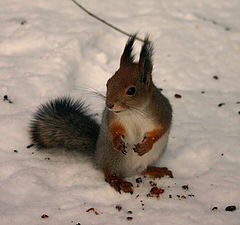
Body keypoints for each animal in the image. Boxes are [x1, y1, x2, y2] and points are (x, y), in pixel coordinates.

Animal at [30, 35, 172, 193]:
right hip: (112, 157)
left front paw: (146, 144)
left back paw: (156, 170)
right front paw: (117, 141)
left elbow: (160, 130)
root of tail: (97, 156)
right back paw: (117, 181)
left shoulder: (162, 113)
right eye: (108, 82)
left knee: (143, 169)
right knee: (107, 172)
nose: (109, 105)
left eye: (131, 90)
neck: (133, 112)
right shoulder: (113, 117)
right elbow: (114, 128)